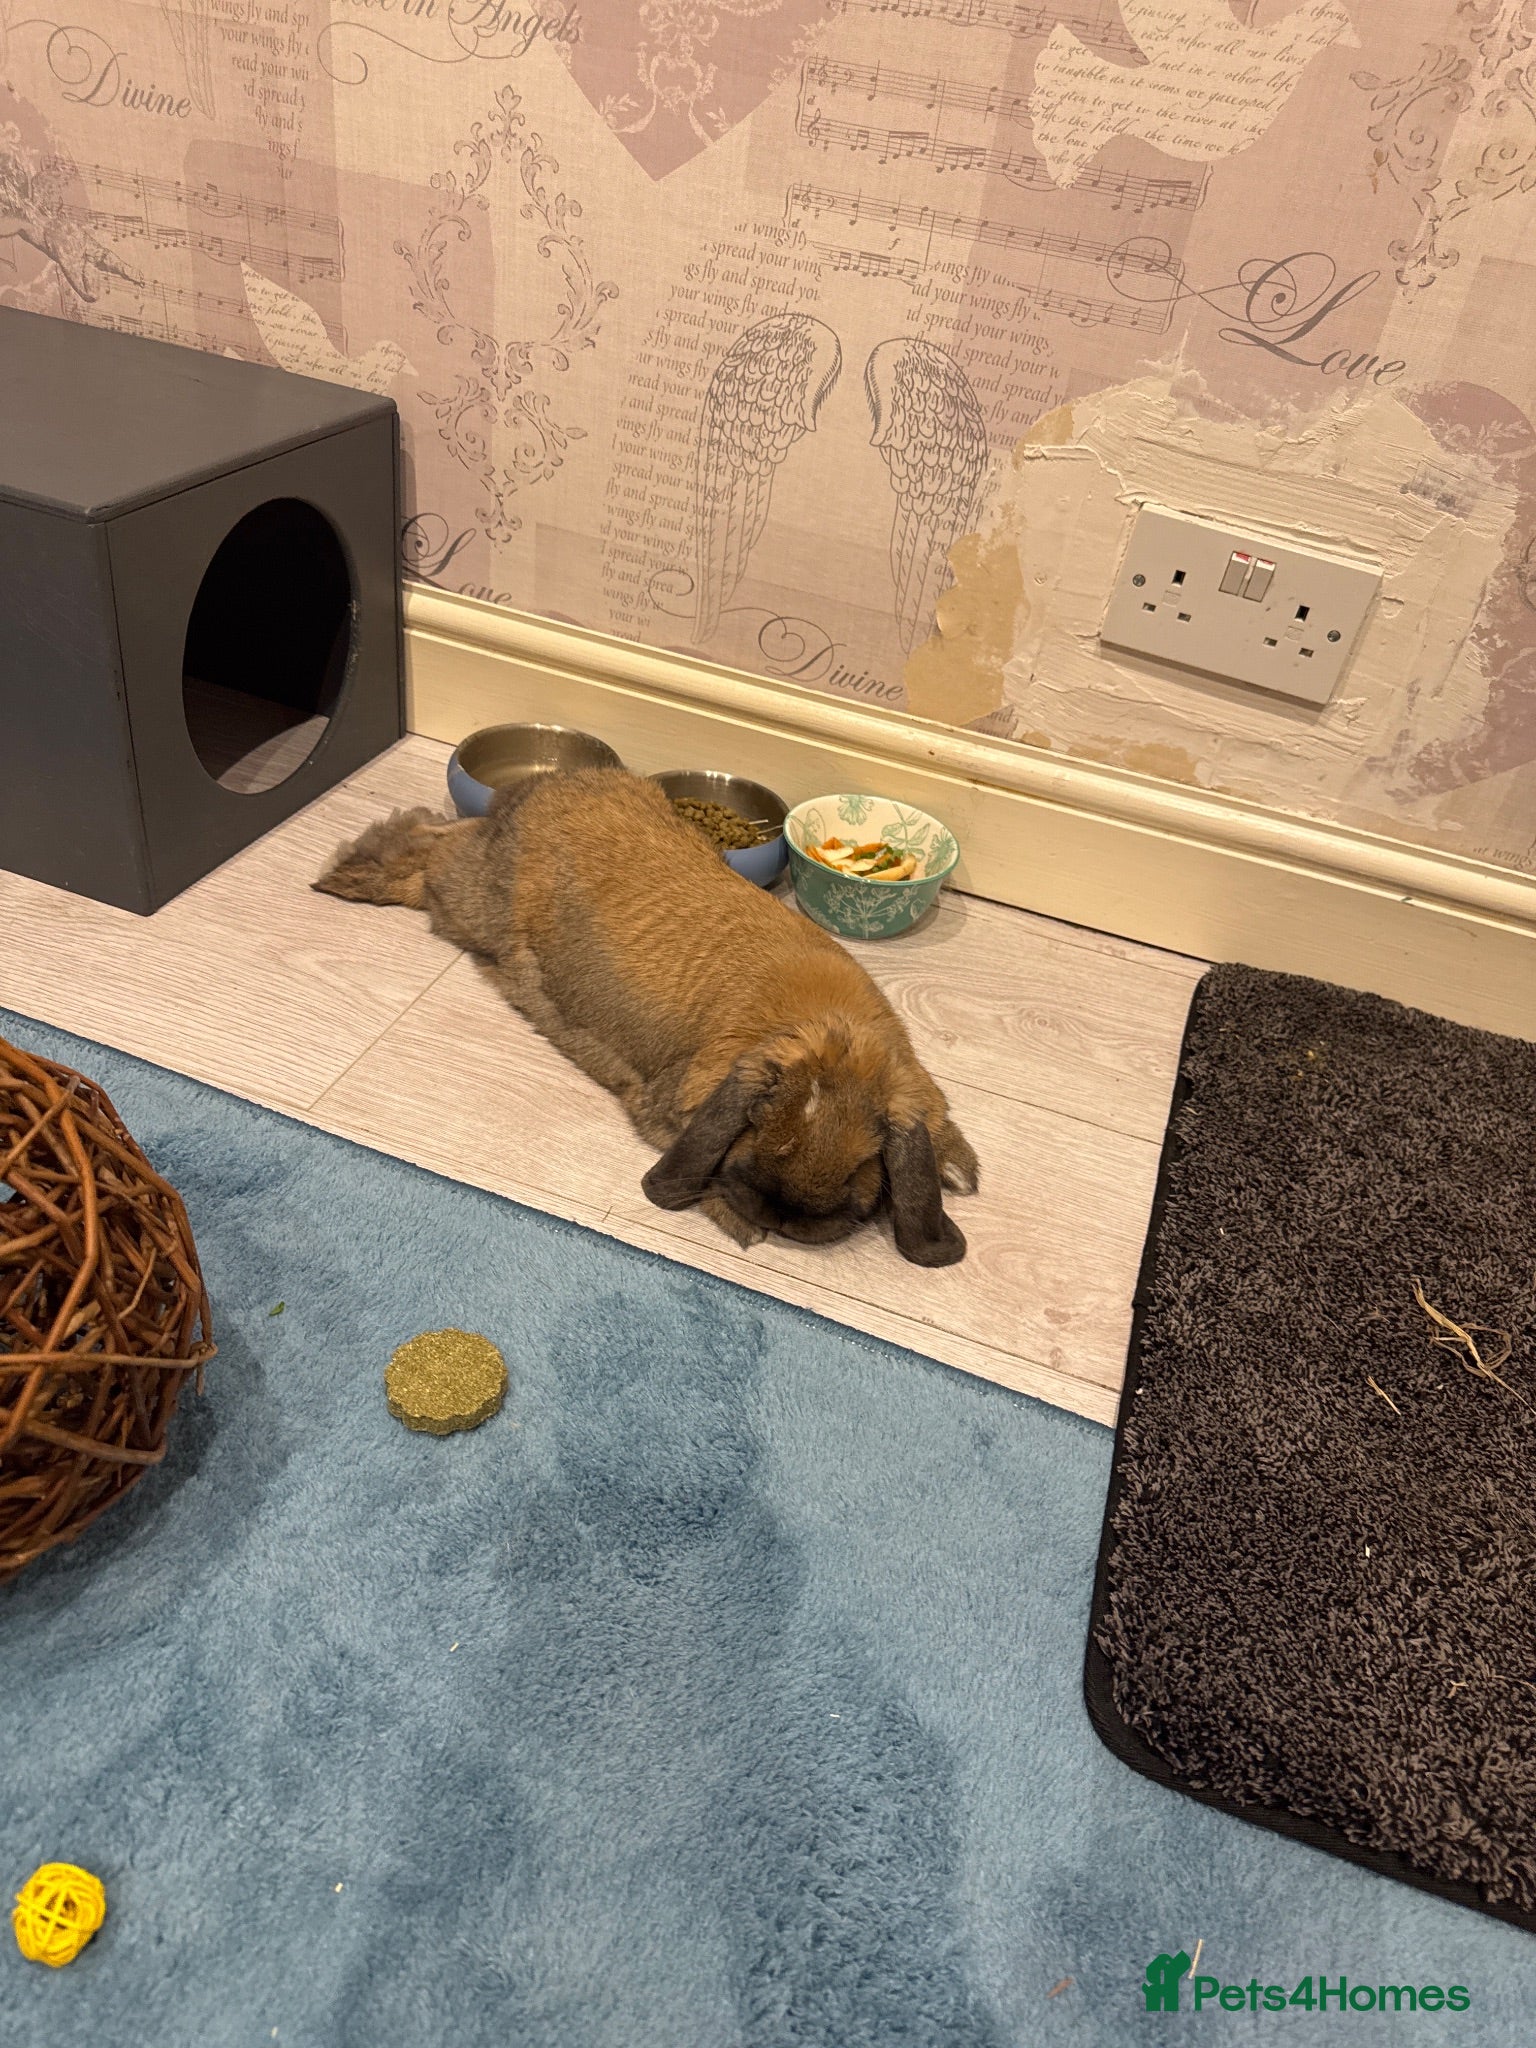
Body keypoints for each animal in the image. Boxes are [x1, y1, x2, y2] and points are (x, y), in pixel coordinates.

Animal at [314, 769, 978, 1265]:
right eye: (759, 1121)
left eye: (866, 1159)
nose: (783, 1213)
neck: (826, 1024)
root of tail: (543, 785)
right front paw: (739, 1226)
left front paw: (959, 1169)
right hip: (466, 901)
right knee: (424, 851)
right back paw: (345, 876)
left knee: (437, 834)